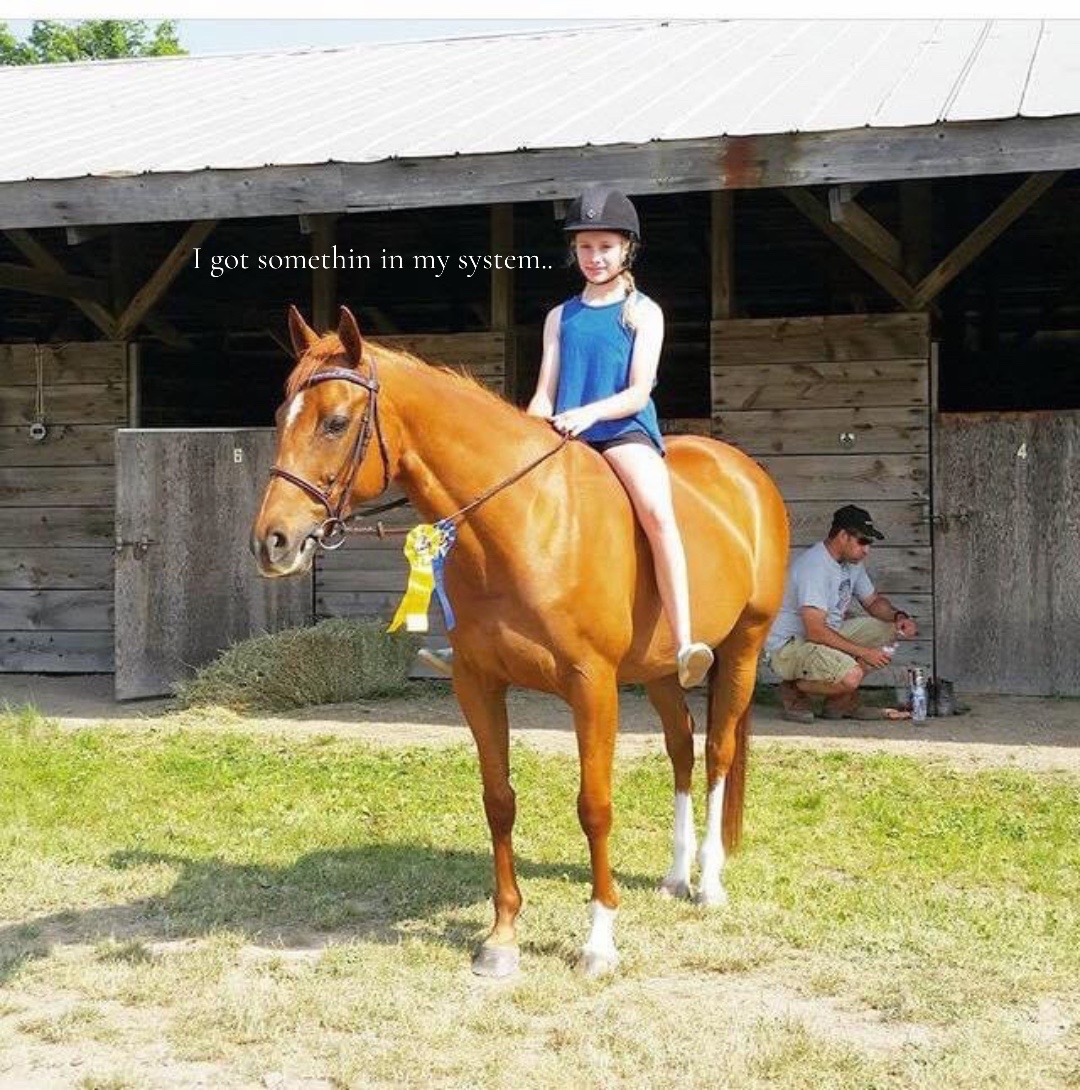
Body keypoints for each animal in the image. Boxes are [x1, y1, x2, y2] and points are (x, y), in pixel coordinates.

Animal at [251, 306, 789, 977]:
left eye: (335, 422)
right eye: (280, 417)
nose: (272, 542)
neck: (525, 520)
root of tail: (744, 472)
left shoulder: (592, 687)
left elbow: (594, 805)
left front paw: (598, 942)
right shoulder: (478, 683)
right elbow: (498, 799)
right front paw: (502, 937)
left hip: (743, 647)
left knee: (717, 752)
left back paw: (709, 884)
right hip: (661, 671)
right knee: (681, 752)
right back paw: (673, 877)